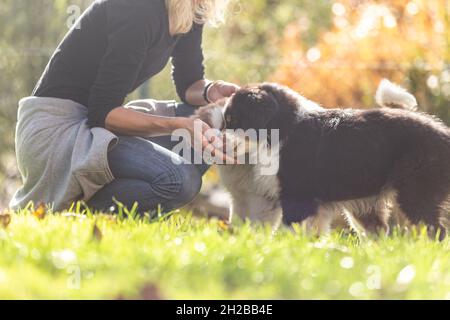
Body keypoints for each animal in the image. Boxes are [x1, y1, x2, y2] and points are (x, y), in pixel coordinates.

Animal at [197, 80, 450, 238]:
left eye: (233, 119)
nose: (214, 140)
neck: (282, 129)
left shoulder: (298, 197)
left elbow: (291, 229)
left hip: (417, 192)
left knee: (435, 231)